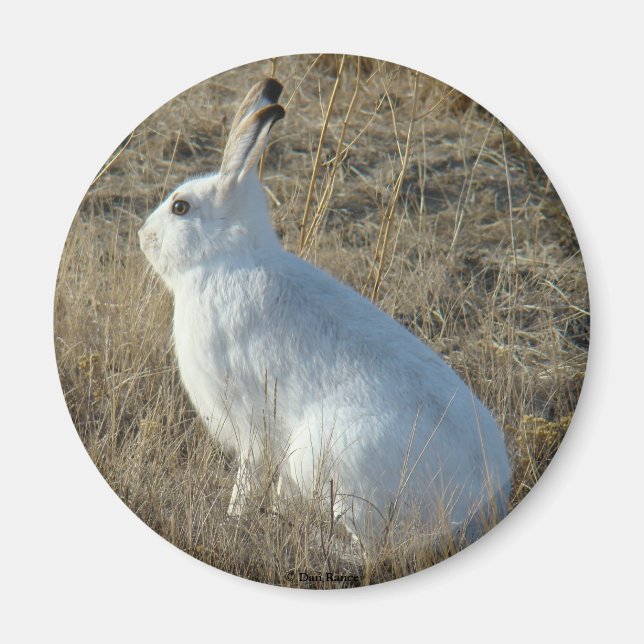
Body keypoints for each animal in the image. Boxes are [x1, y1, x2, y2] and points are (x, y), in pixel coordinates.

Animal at [138, 78, 512, 545]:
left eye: (180, 207)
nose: (142, 235)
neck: (229, 259)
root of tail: (483, 505)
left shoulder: (250, 424)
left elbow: (248, 475)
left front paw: (234, 518)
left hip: (333, 458)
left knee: (372, 549)